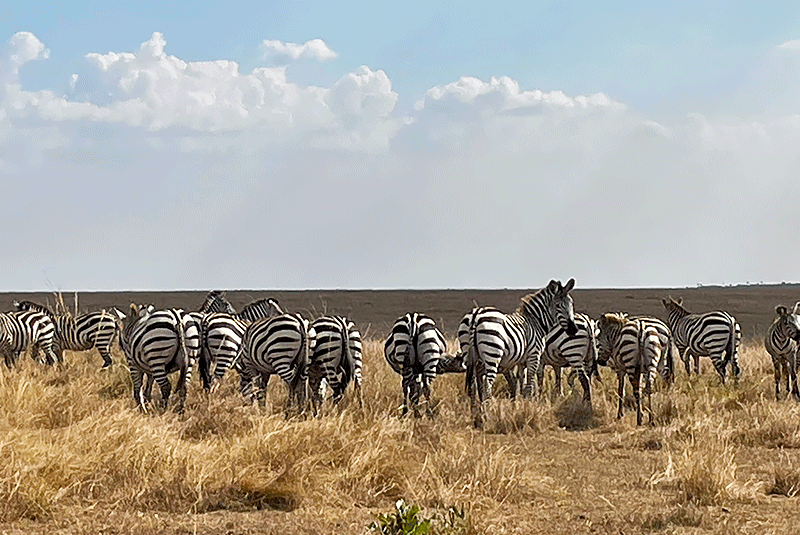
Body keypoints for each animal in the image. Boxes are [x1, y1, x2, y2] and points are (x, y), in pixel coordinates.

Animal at [462, 278, 580, 430]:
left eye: (571, 304)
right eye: (559, 305)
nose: (573, 329)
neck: (536, 321)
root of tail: (476, 315)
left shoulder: (521, 361)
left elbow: (520, 384)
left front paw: (519, 408)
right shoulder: (534, 356)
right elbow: (530, 384)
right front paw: (529, 410)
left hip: (469, 354)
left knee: (473, 386)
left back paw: (475, 419)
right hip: (492, 354)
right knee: (487, 386)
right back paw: (486, 418)